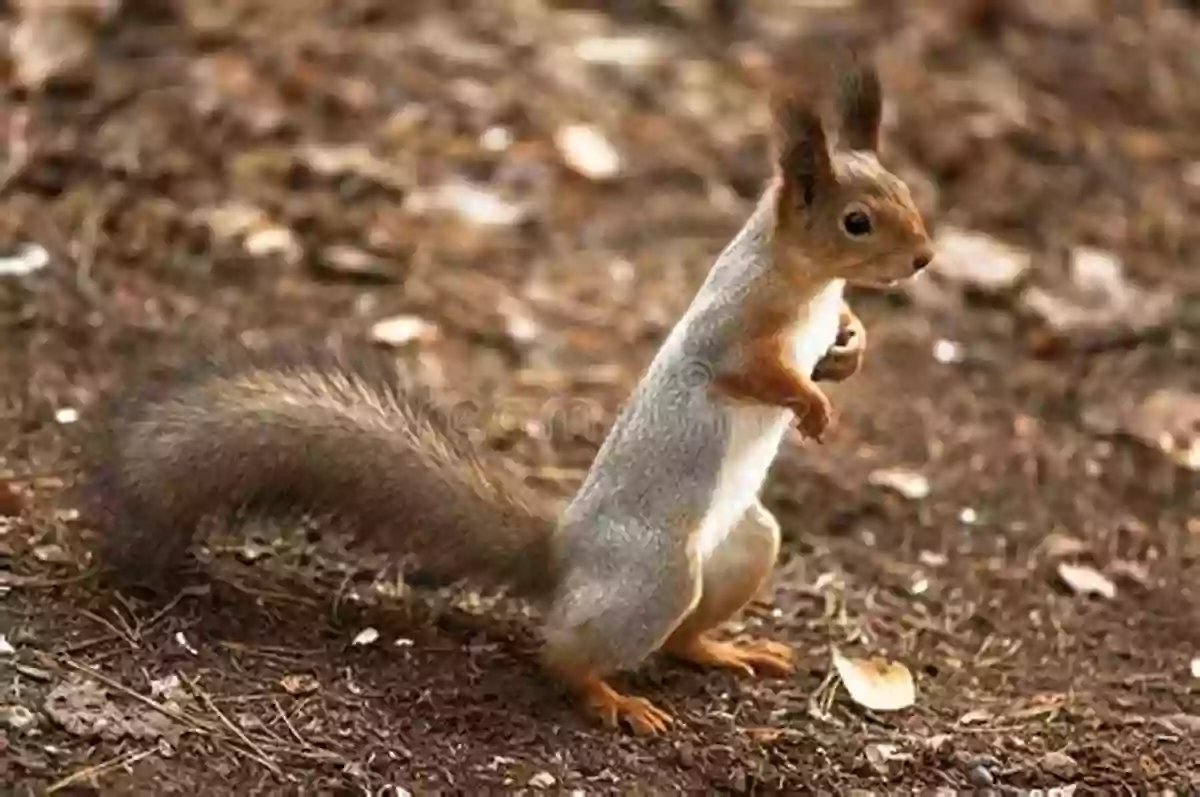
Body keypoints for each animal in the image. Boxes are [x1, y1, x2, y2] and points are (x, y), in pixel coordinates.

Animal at [72, 48, 936, 734]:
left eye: (905, 190)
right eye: (857, 221)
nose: (925, 258)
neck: (806, 281)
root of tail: (564, 551)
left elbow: (838, 337)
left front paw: (849, 350)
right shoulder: (727, 330)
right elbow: (751, 373)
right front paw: (812, 403)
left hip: (746, 546)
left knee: (683, 633)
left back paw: (725, 647)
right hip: (657, 572)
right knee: (563, 650)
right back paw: (609, 696)